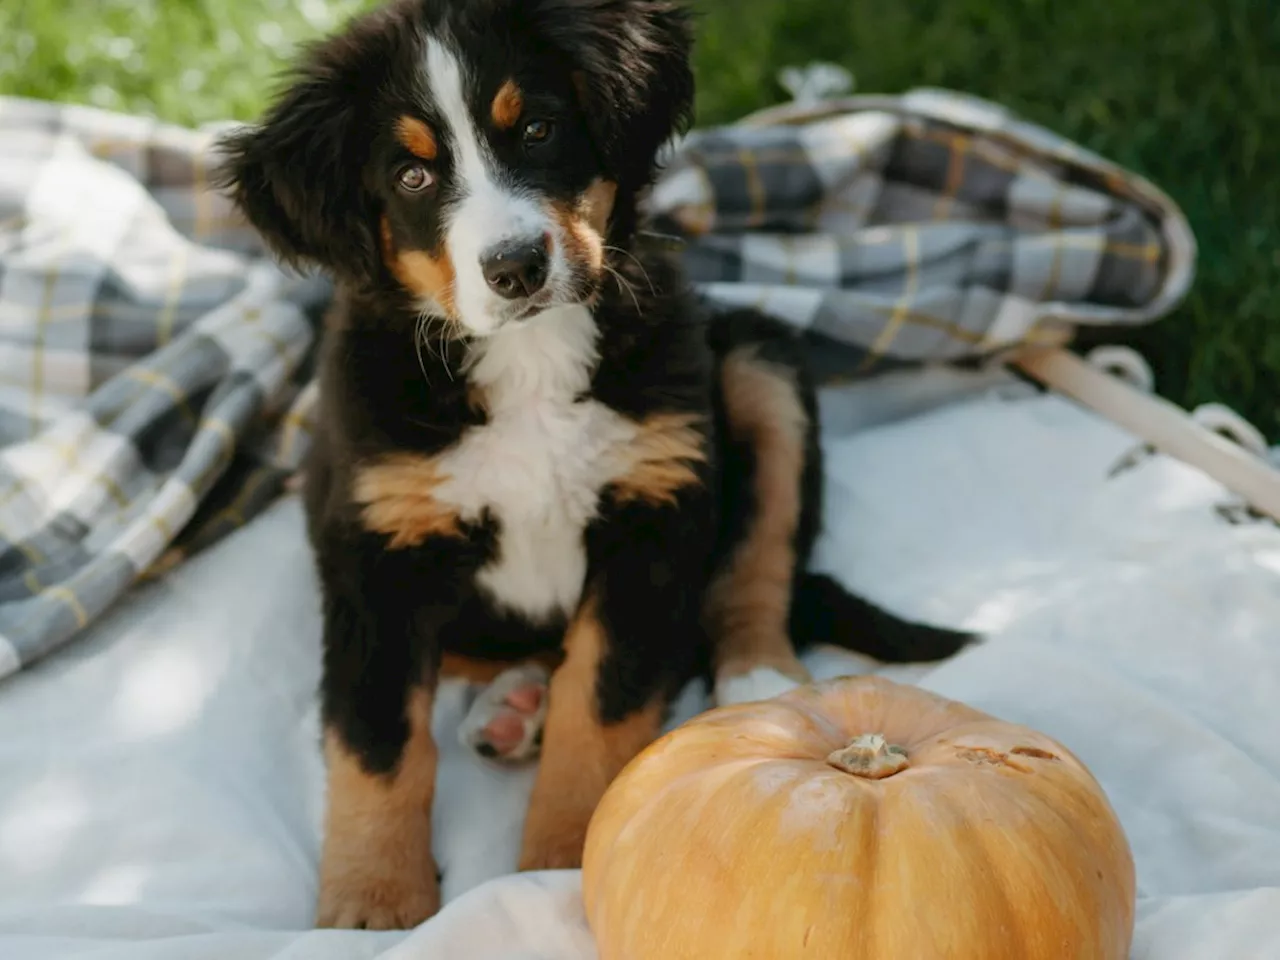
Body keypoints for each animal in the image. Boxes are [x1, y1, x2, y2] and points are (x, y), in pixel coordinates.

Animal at [215, 0, 967, 931]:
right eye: (413, 177)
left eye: (538, 129)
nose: (515, 267)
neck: (530, 362)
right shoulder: (375, 549)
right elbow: (377, 742)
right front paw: (371, 904)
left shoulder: (652, 515)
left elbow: (599, 708)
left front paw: (559, 864)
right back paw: (512, 708)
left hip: (756, 361)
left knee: (758, 564)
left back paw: (760, 685)